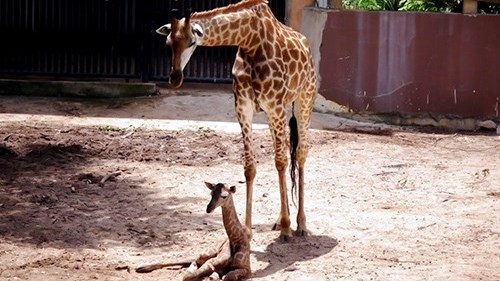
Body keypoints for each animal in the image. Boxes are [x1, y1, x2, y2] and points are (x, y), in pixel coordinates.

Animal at [157, 0, 316, 241]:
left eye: (192, 41)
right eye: (168, 43)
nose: (175, 78)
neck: (250, 40)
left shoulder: (276, 105)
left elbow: (281, 161)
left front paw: (287, 228)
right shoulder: (243, 107)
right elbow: (250, 168)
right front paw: (248, 230)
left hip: (303, 100)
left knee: (299, 153)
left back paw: (301, 224)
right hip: (273, 115)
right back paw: (280, 220)